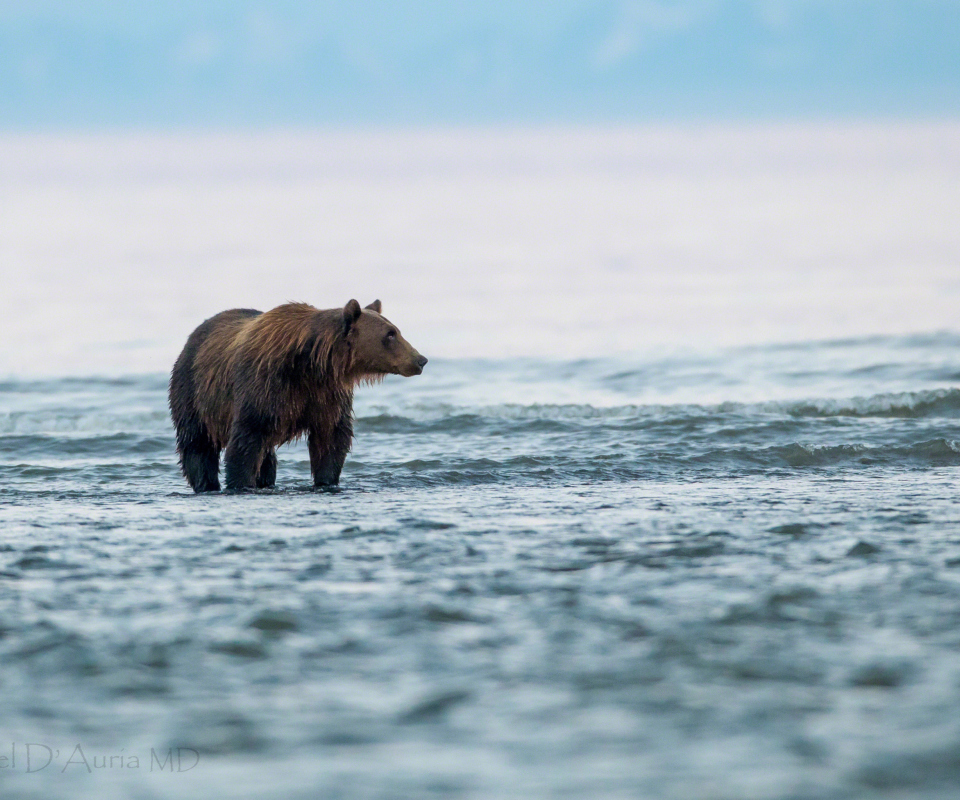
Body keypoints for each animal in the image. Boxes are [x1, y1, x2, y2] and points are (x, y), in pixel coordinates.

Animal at [169, 296, 428, 490]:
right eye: (390, 334)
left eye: (396, 330)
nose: (421, 359)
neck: (311, 363)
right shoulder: (265, 386)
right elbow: (246, 440)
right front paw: (240, 482)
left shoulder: (326, 394)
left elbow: (331, 439)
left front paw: (326, 480)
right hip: (192, 389)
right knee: (197, 443)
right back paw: (206, 483)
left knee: (267, 457)